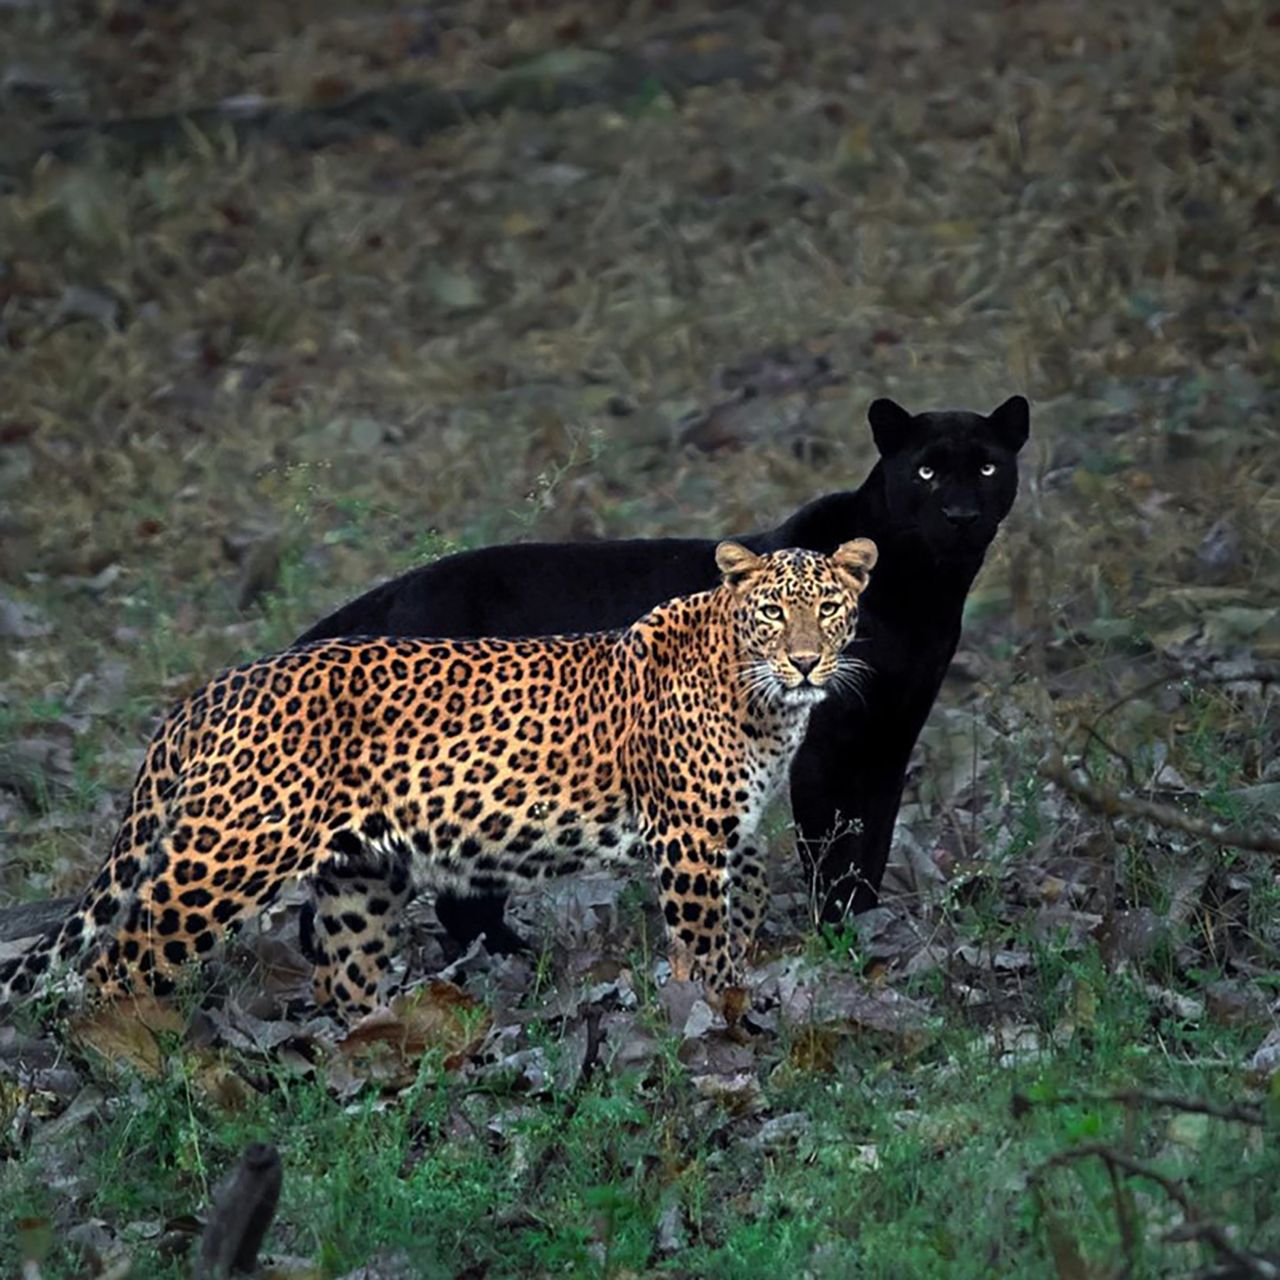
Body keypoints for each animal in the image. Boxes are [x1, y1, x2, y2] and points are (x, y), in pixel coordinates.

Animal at [0, 537, 875, 1018]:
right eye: (772, 612)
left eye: (830, 608)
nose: (805, 661)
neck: (763, 700)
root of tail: (206, 693)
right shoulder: (690, 840)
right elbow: (704, 942)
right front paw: (718, 1017)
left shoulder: (733, 834)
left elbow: (742, 916)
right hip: (227, 858)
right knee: (115, 963)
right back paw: (132, 1057)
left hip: (359, 875)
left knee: (343, 977)